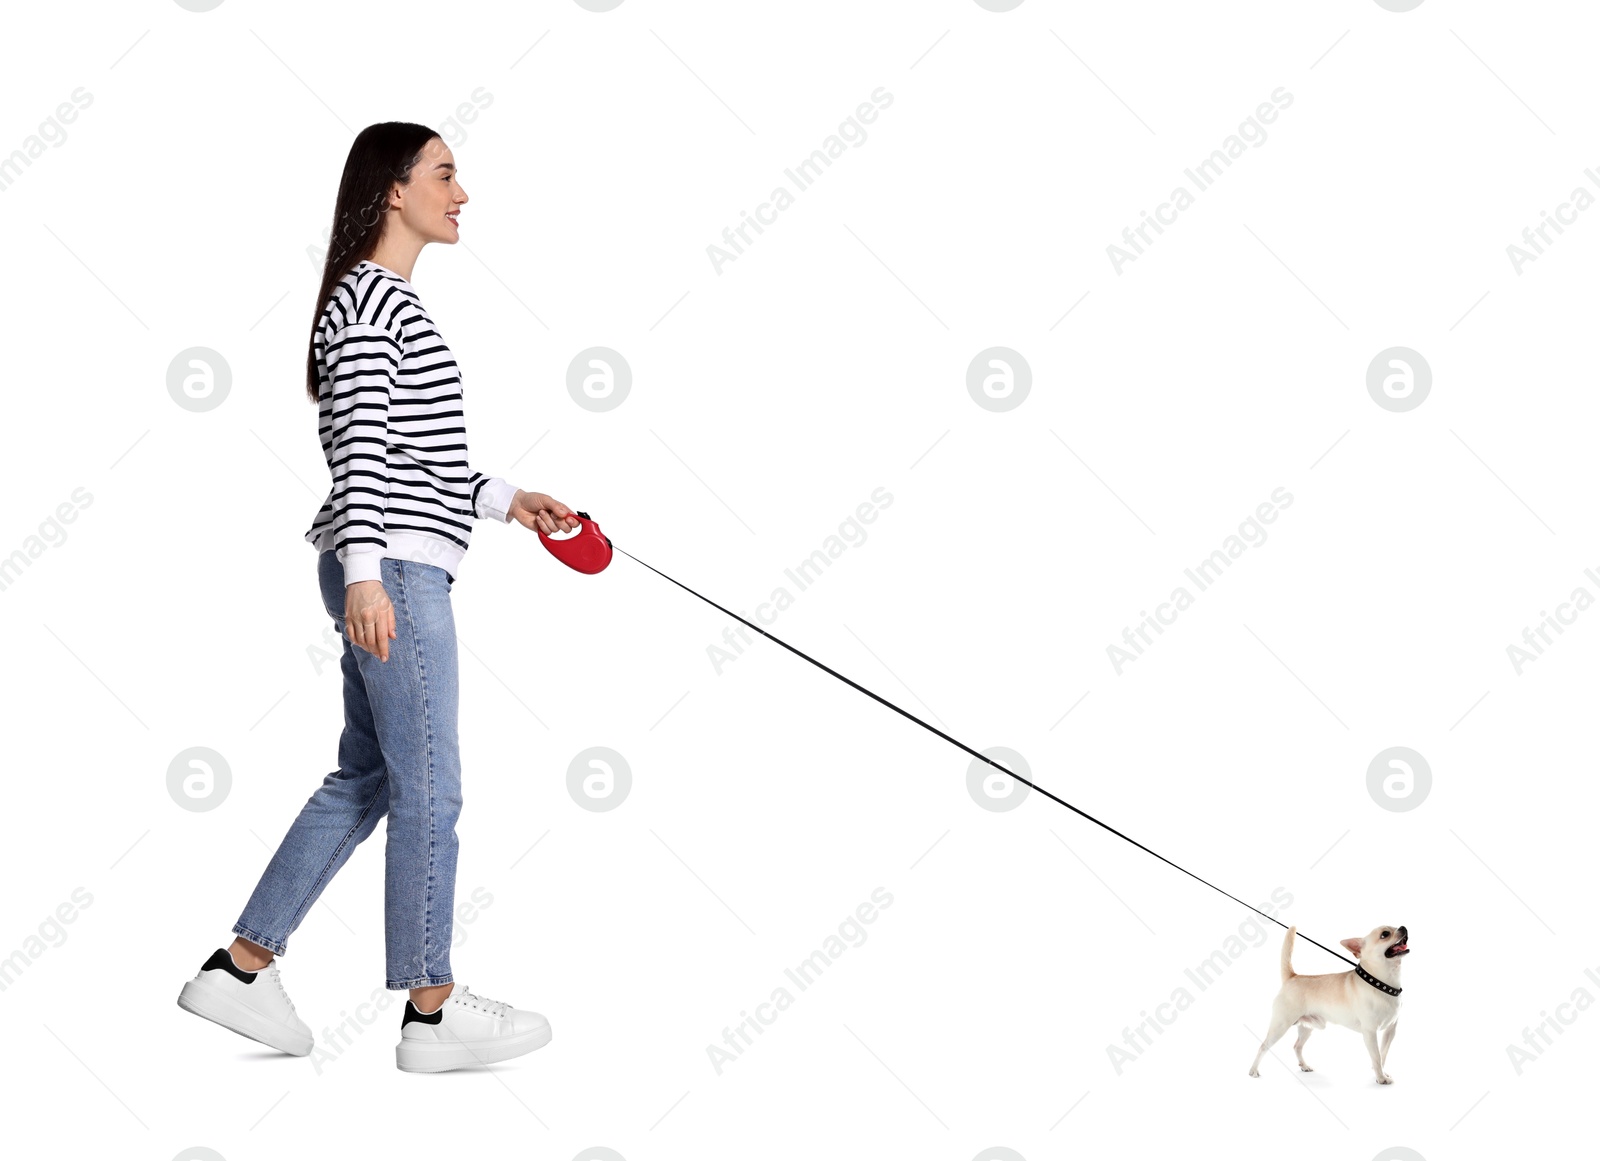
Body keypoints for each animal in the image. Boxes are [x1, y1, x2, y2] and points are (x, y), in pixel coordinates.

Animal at [1241, 921, 1408, 1087]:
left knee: (1297, 1046)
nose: (1403, 928)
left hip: (1306, 1027)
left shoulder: (1390, 1031)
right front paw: (1381, 1078)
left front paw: (1381, 1073)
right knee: (1263, 1046)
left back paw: (1304, 1066)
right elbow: (1376, 1056)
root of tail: (1293, 976)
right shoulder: (1370, 1032)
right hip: (1280, 1025)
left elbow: (1383, 1054)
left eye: (1395, 926)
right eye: (1385, 934)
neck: (1383, 984)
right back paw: (1253, 1070)